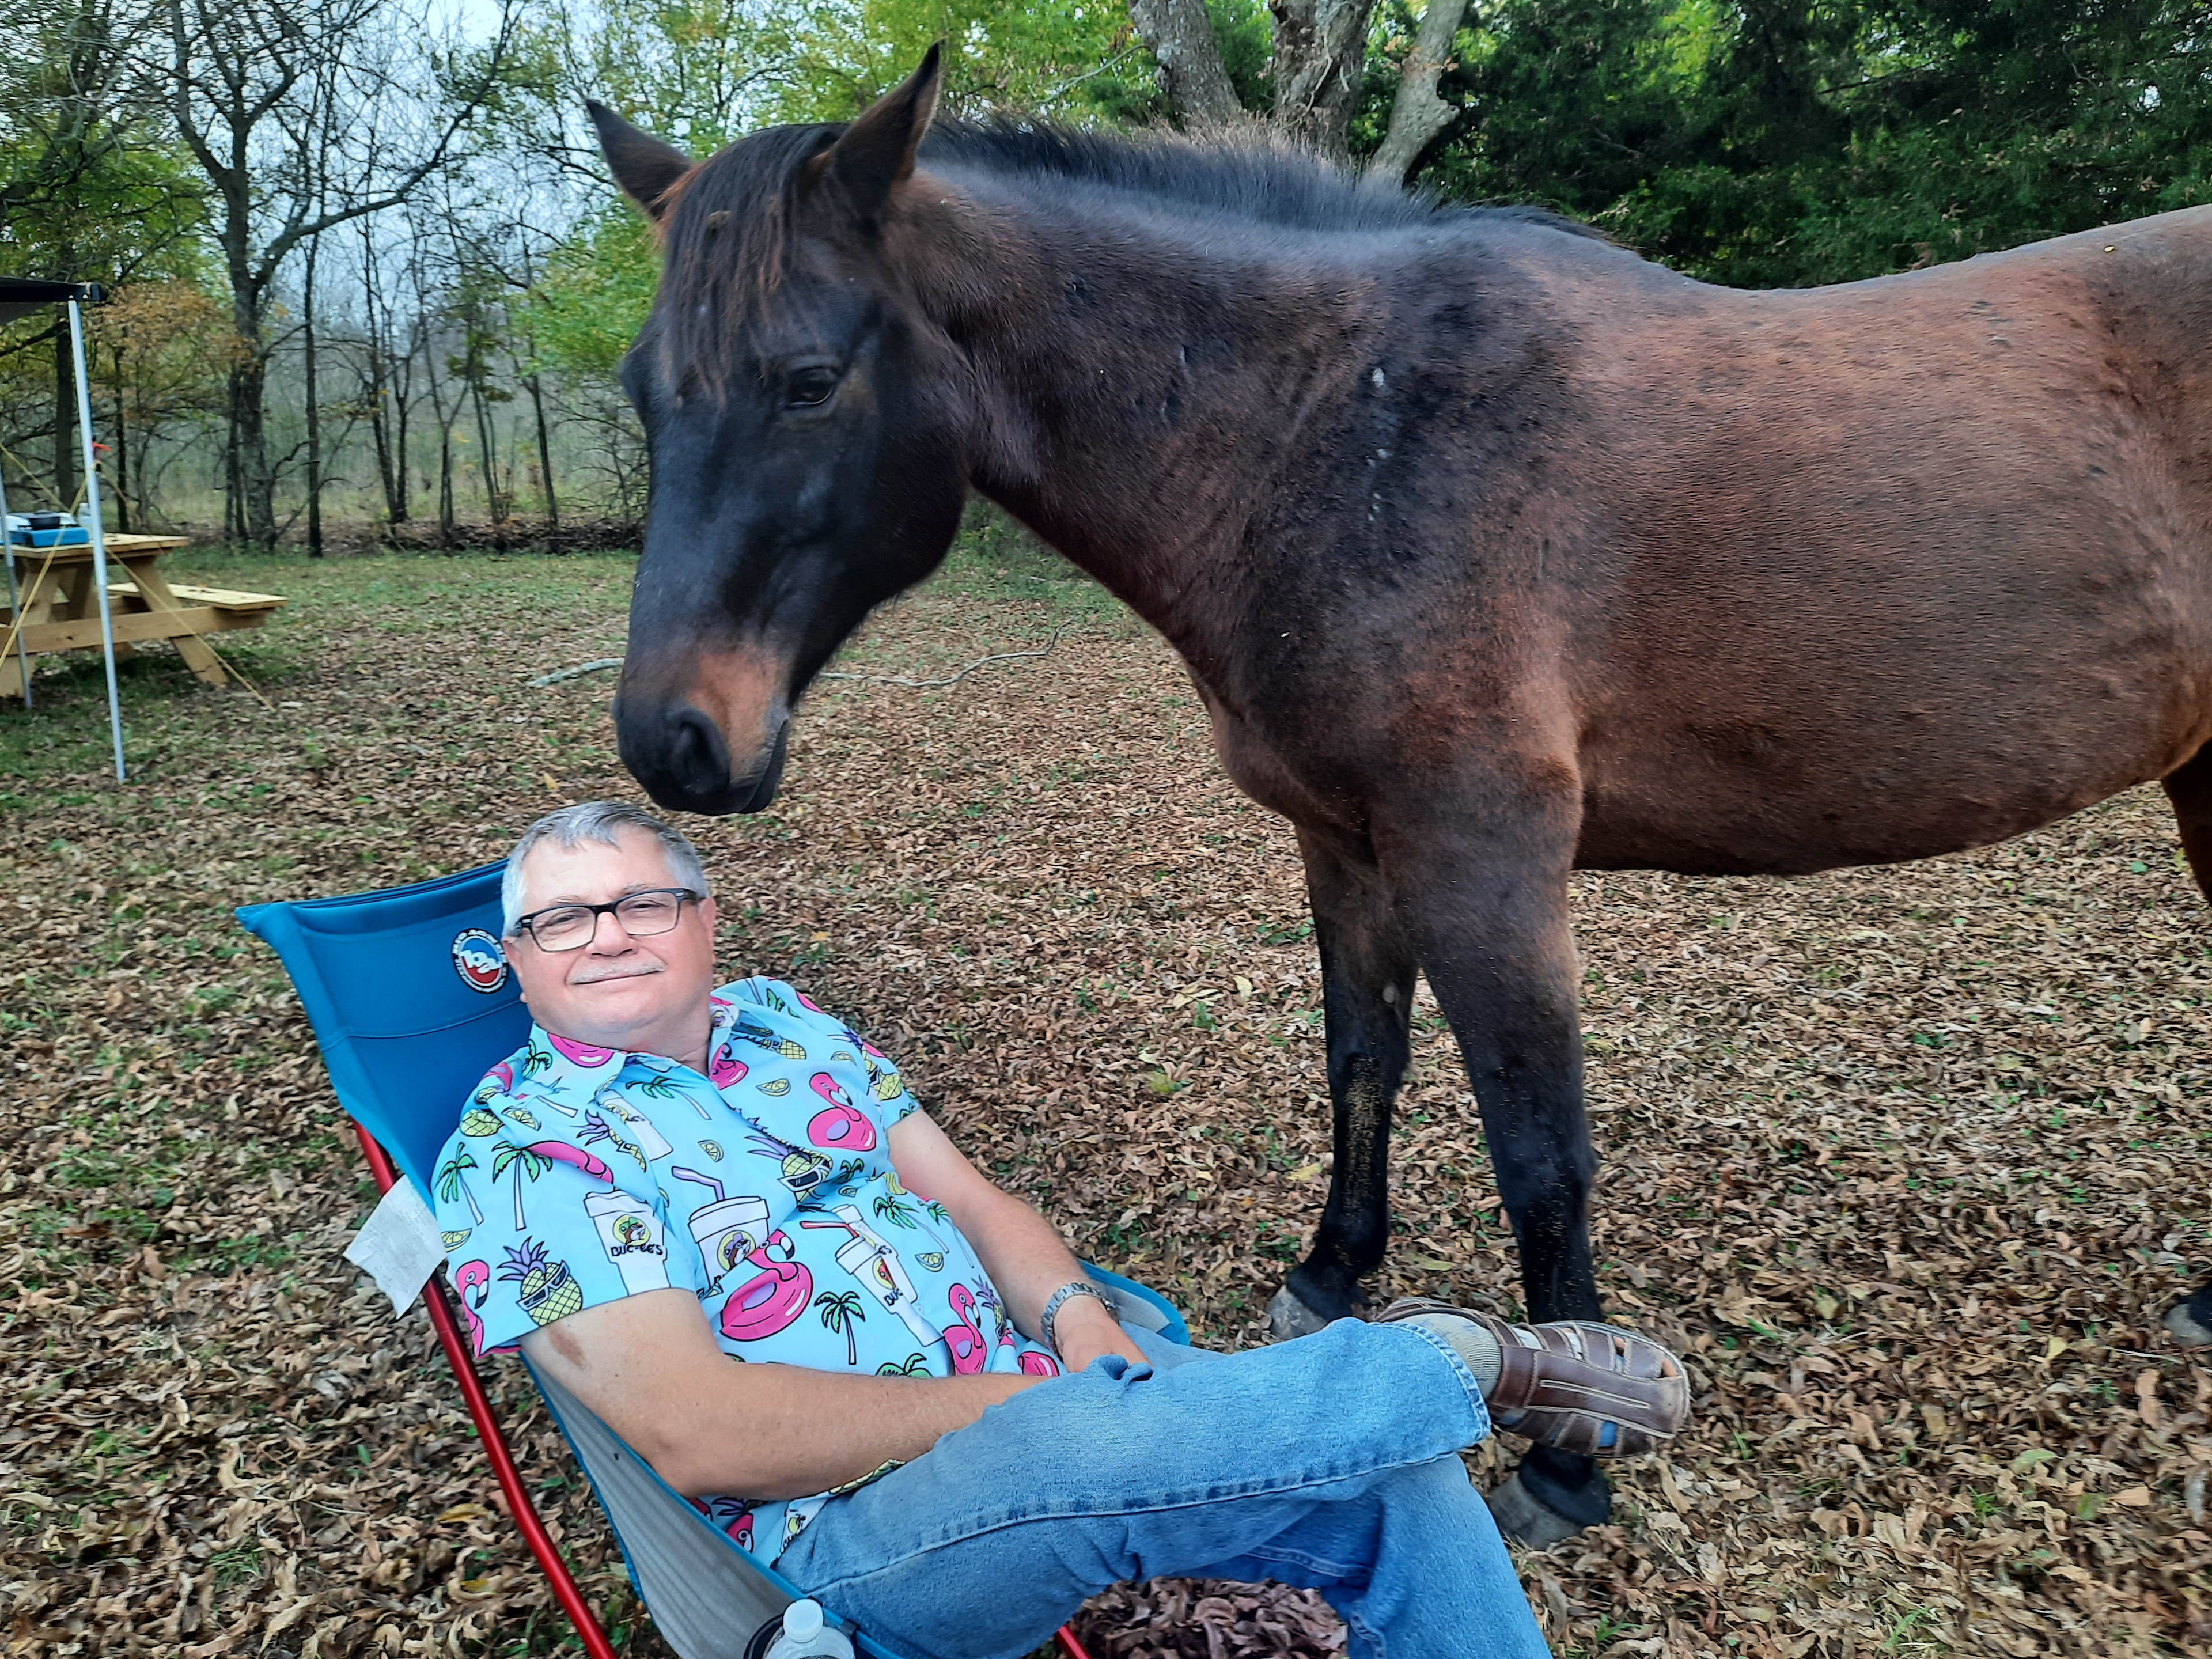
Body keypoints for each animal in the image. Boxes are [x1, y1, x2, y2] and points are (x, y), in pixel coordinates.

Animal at [586, 49, 2212, 1540]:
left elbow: (1539, 1148)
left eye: (808, 381)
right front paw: (1332, 1273)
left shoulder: (1482, 858)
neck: (1350, 431)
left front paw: (1571, 1444)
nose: (673, 741)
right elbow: (1362, 1060)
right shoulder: (1347, 842)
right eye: (642, 392)